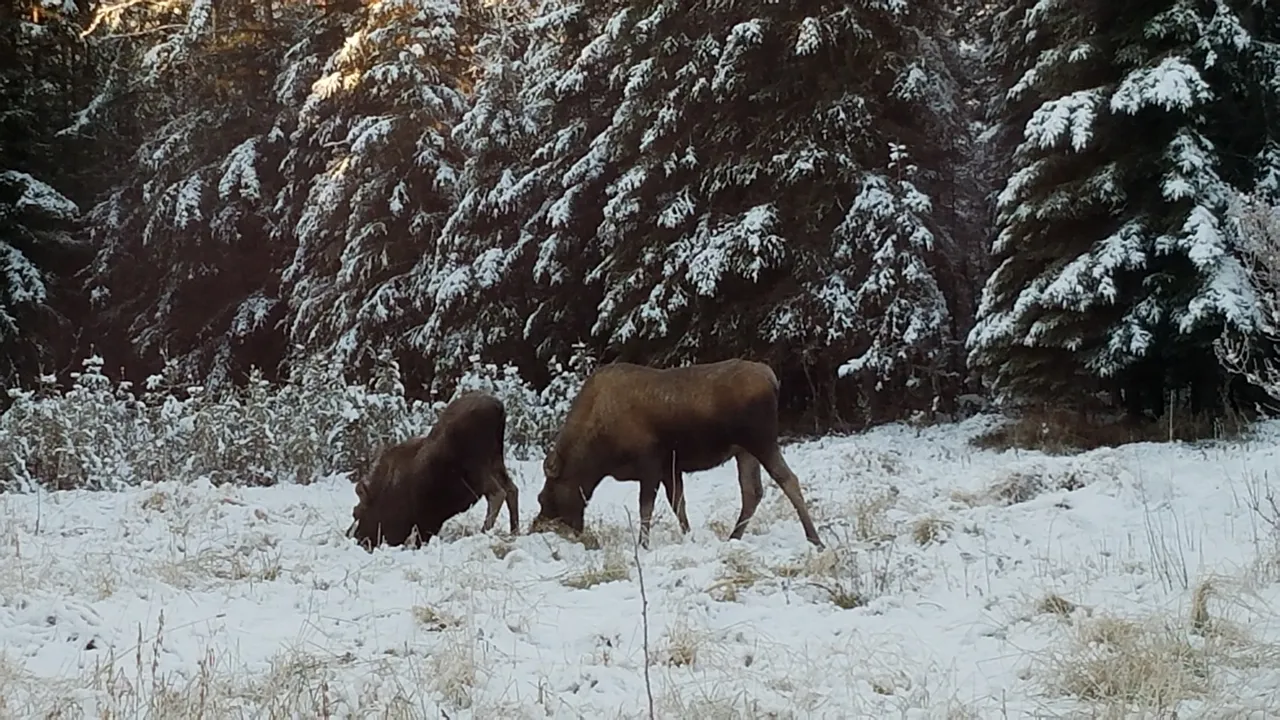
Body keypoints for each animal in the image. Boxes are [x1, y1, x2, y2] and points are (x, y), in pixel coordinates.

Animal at [345, 389, 519, 545]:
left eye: (356, 512)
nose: (357, 539)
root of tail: (498, 408)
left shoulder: (423, 520)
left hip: (477, 468)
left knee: (497, 493)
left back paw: (485, 532)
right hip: (495, 461)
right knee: (511, 489)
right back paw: (514, 531)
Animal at [527, 356, 819, 545]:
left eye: (544, 497)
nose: (535, 528)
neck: (597, 457)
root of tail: (772, 378)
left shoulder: (650, 464)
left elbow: (646, 507)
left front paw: (643, 545)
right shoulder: (670, 467)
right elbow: (678, 504)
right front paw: (688, 537)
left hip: (761, 440)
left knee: (787, 480)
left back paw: (814, 539)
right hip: (744, 450)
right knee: (752, 492)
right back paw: (733, 537)